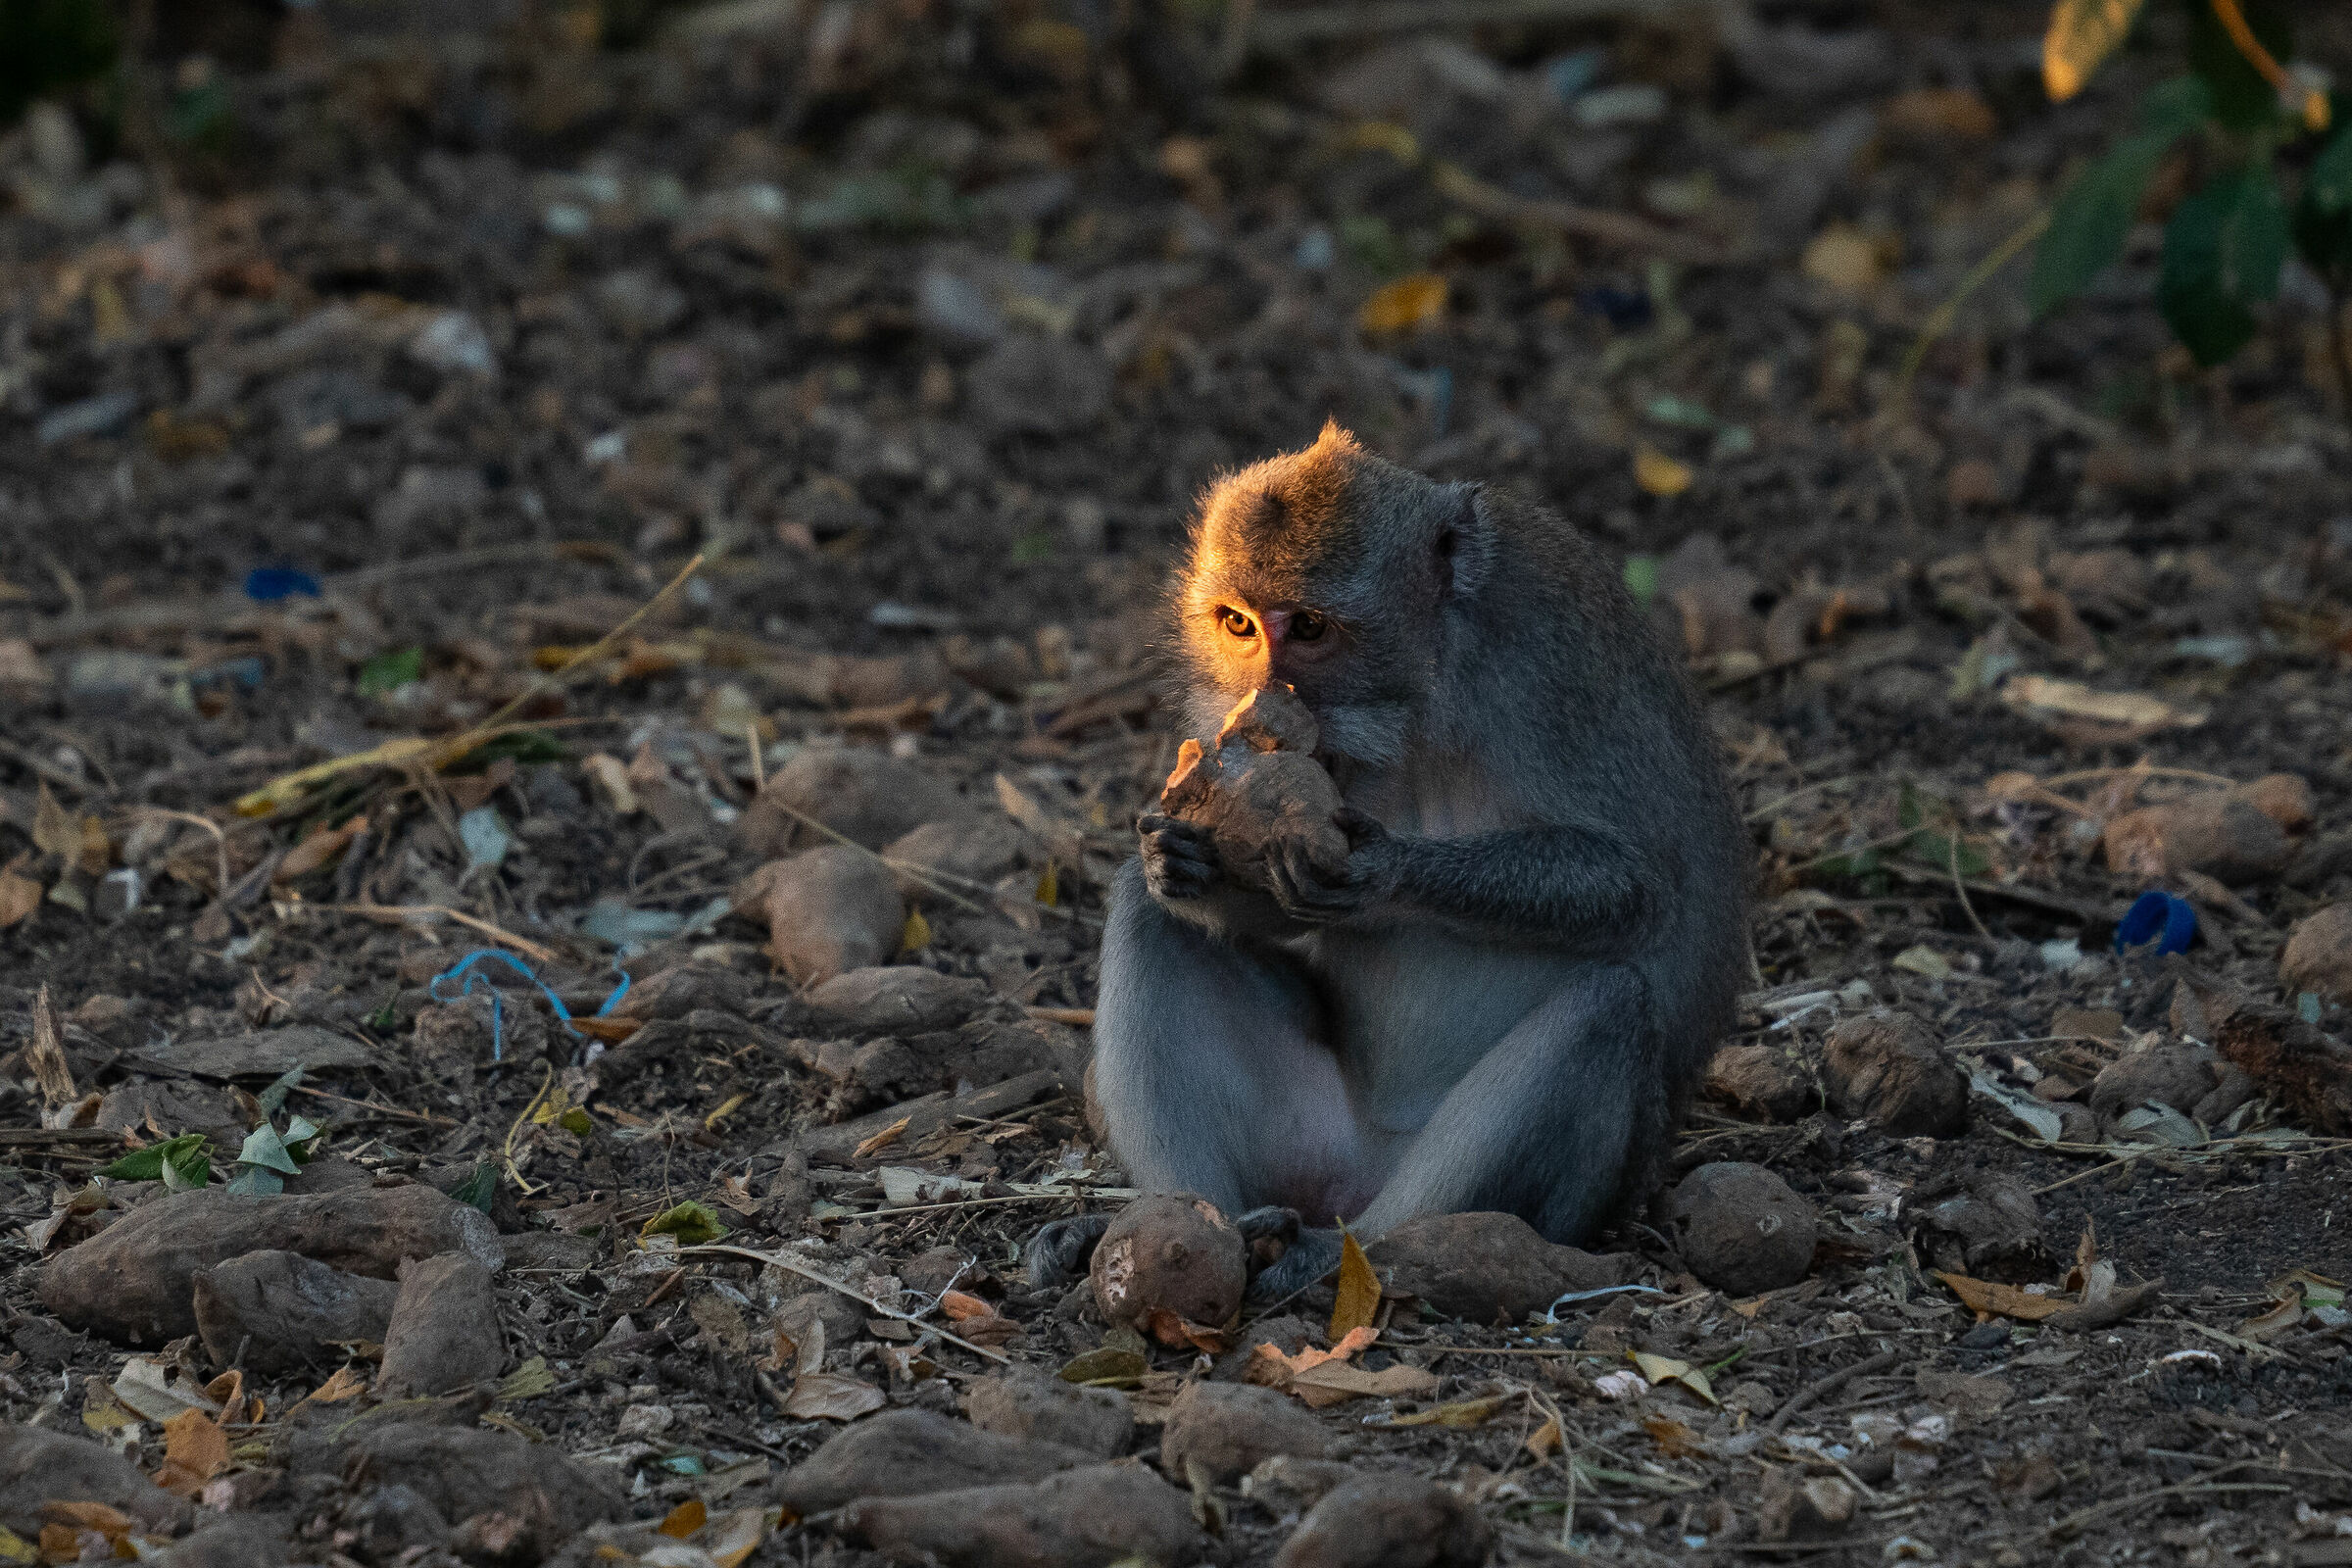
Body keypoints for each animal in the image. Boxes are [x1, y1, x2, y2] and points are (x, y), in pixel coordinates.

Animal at [1029, 422, 1750, 1301]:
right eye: (1238, 625)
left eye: (1309, 628)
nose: (1266, 695)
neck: (1425, 692)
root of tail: (1355, 1178)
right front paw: (1182, 857)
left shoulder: (1555, 664)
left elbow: (1636, 886)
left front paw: (1380, 872)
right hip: (1300, 1135)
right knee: (1145, 913)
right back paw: (1196, 1223)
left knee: (1607, 1006)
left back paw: (1350, 1249)